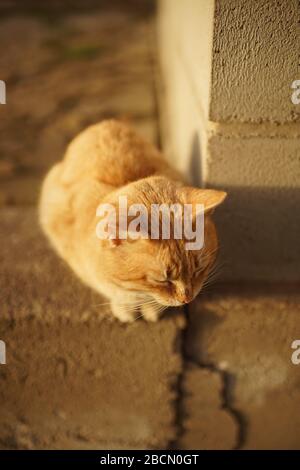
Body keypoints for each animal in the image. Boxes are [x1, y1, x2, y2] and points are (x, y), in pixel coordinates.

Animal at [40, 119, 227, 322]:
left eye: (198, 269)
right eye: (162, 280)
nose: (187, 298)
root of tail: (104, 122)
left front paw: (151, 308)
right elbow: (120, 293)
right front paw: (127, 307)